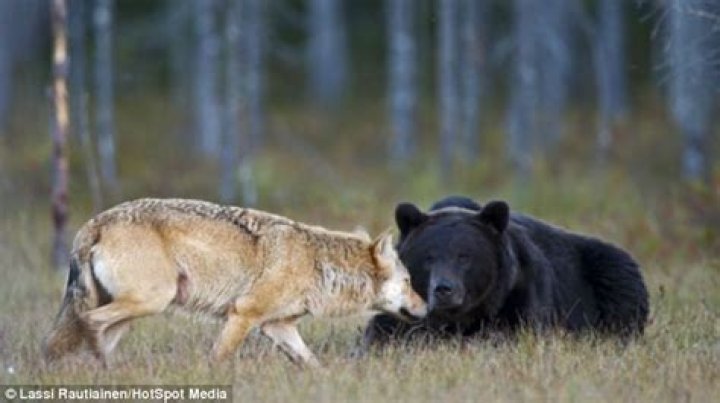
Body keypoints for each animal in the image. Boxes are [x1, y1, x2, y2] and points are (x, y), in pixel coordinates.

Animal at [43, 198, 426, 367]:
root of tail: (94, 222)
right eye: (409, 280)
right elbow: (219, 358)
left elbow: (313, 364)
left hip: (134, 312)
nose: (428, 305)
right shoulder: (243, 315)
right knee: (90, 323)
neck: (319, 265)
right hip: (149, 301)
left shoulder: (278, 327)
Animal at [363, 196, 649, 347]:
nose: (444, 289)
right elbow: (385, 332)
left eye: (464, 256)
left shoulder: (518, 297)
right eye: (428, 257)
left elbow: (511, 334)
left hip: (605, 274)